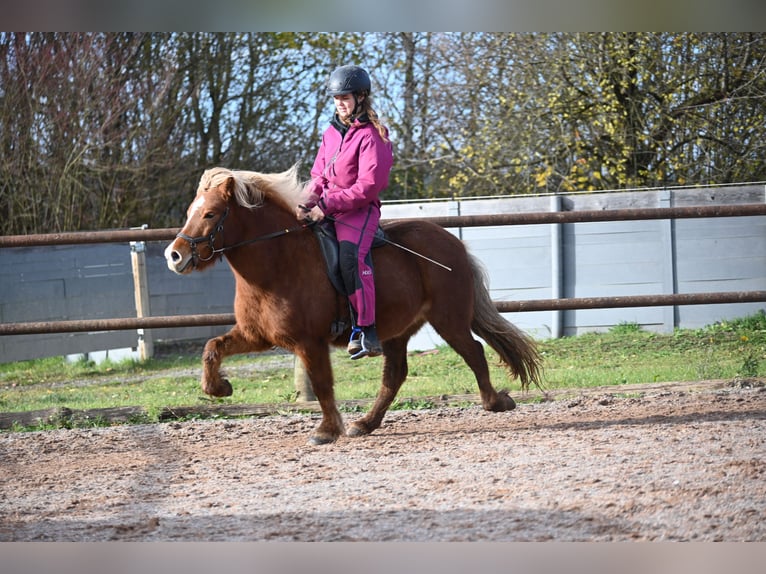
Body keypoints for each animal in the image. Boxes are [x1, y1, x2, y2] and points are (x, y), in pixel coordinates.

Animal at [165, 164, 544, 448]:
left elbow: (322, 384)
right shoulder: (256, 336)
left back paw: (495, 402)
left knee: (474, 352)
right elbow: (212, 347)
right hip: (397, 330)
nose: (174, 255)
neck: (278, 264)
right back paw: (365, 423)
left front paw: (326, 430)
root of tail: (452, 242)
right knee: (395, 376)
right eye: (190, 212)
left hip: (448, 318)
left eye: (211, 213)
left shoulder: (309, 342)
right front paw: (218, 388)